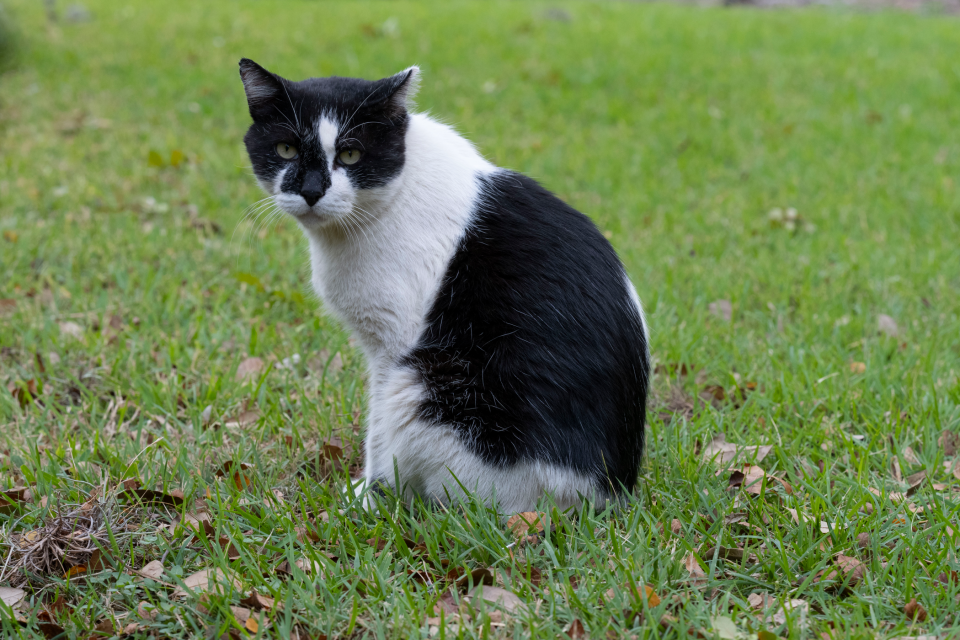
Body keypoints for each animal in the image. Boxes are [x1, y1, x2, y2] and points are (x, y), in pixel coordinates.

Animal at [238, 58, 652, 510]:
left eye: (350, 154)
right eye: (286, 150)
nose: (312, 191)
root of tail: (606, 496)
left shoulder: (393, 346)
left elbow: (377, 434)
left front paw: (369, 499)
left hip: (424, 387)